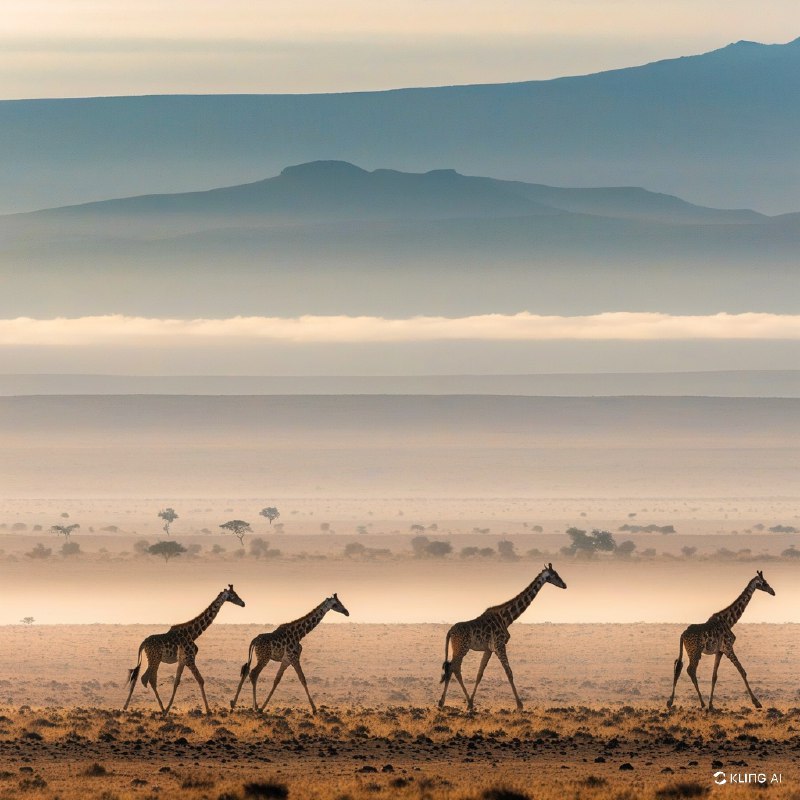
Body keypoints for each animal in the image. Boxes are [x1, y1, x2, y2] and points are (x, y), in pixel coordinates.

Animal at [123, 584, 245, 715]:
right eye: (233, 595)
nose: (243, 603)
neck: (193, 633)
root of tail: (143, 643)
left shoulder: (183, 660)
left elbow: (177, 682)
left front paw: (168, 709)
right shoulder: (190, 659)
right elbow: (200, 680)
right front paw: (208, 710)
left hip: (153, 659)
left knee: (141, 678)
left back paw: (129, 707)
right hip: (155, 659)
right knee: (148, 678)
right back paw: (158, 708)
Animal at [438, 563, 567, 713]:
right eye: (554, 575)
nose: (564, 585)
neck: (507, 618)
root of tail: (450, 632)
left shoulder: (489, 649)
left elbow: (479, 674)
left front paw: (472, 702)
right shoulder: (499, 645)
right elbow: (509, 672)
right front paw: (519, 704)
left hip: (458, 648)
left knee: (453, 668)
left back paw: (463, 702)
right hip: (462, 647)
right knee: (453, 668)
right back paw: (443, 702)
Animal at [667, 570, 775, 711]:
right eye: (765, 583)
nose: (773, 592)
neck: (729, 621)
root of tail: (682, 635)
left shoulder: (719, 651)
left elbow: (714, 676)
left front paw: (711, 704)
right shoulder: (728, 647)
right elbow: (742, 671)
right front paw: (757, 702)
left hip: (691, 652)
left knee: (679, 668)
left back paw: (671, 702)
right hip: (695, 652)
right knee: (690, 670)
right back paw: (700, 703)